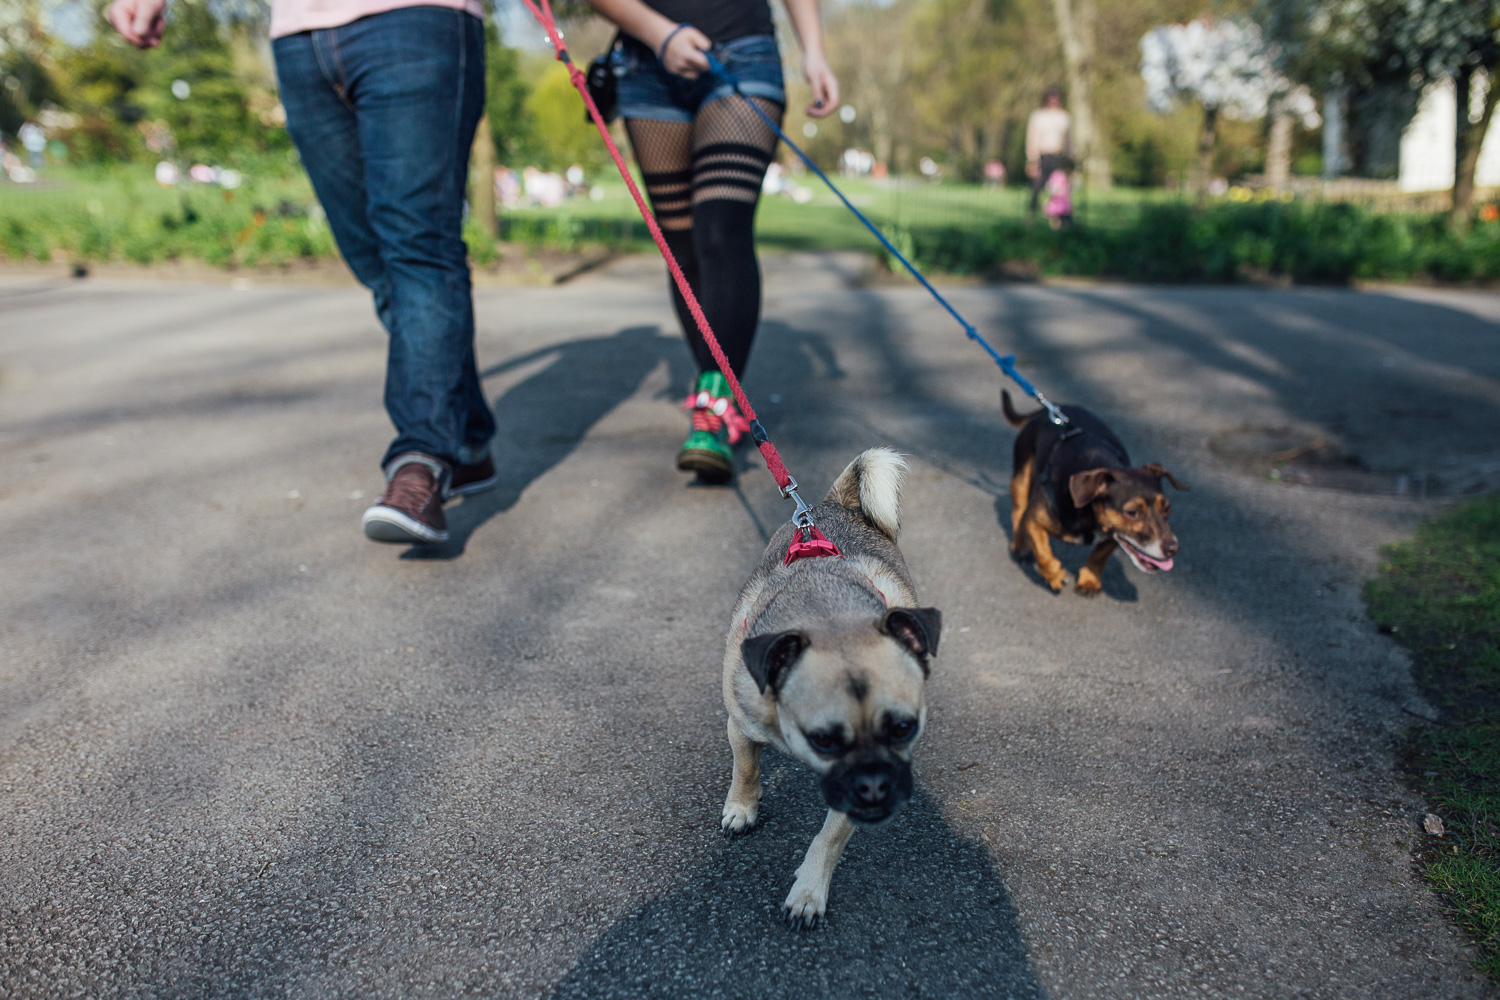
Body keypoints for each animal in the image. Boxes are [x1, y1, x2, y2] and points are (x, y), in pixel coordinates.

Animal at [720, 446, 942, 929]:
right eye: (823, 738)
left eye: (904, 729)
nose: (876, 784)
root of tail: (827, 506)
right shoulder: (740, 725)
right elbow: (745, 768)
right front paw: (742, 806)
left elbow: (830, 838)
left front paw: (809, 889)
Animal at [1002, 389, 1188, 593]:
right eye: (1132, 512)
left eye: (1167, 509)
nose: (1173, 549)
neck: (1088, 513)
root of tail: (1048, 410)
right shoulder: (1034, 520)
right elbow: (1041, 551)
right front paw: (1054, 574)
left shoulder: (1115, 535)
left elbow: (1099, 555)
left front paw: (1089, 580)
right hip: (1021, 476)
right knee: (1018, 512)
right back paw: (1020, 547)